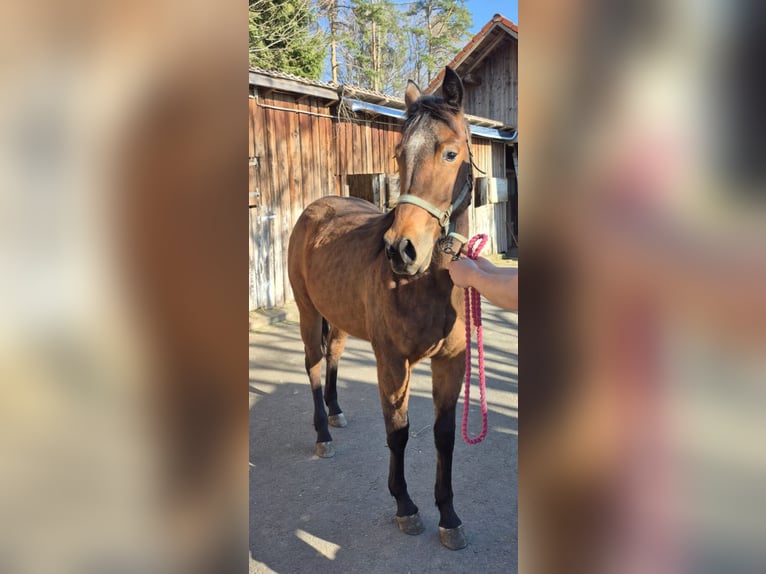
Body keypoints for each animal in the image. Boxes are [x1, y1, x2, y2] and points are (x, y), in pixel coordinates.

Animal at [287, 67, 475, 550]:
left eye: (450, 153)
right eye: (397, 153)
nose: (401, 250)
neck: (428, 284)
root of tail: (316, 208)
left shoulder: (451, 362)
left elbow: (444, 436)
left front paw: (449, 515)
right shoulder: (392, 361)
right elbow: (399, 431)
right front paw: (405, 505)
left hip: (337, 319)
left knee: (332, 357)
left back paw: (336, 411)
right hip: (307, 311)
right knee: (313, 365)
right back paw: (322, 433)